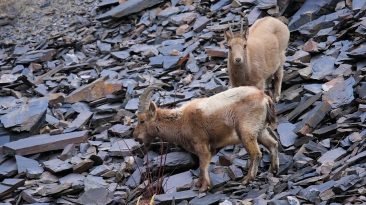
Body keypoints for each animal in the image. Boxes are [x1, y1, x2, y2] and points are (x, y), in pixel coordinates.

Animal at [133, 84, 278, 192]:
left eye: (142, 121)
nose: (135, 136)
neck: (180, 121)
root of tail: (264, 97)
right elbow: (201, 166)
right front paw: (199, 183)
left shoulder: (201, 144)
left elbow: (203, 165)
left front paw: (204, 187)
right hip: (260, 130)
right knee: (273, 144)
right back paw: (273, 170)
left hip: (246, 131)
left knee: (256, 153)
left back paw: (247, 179)